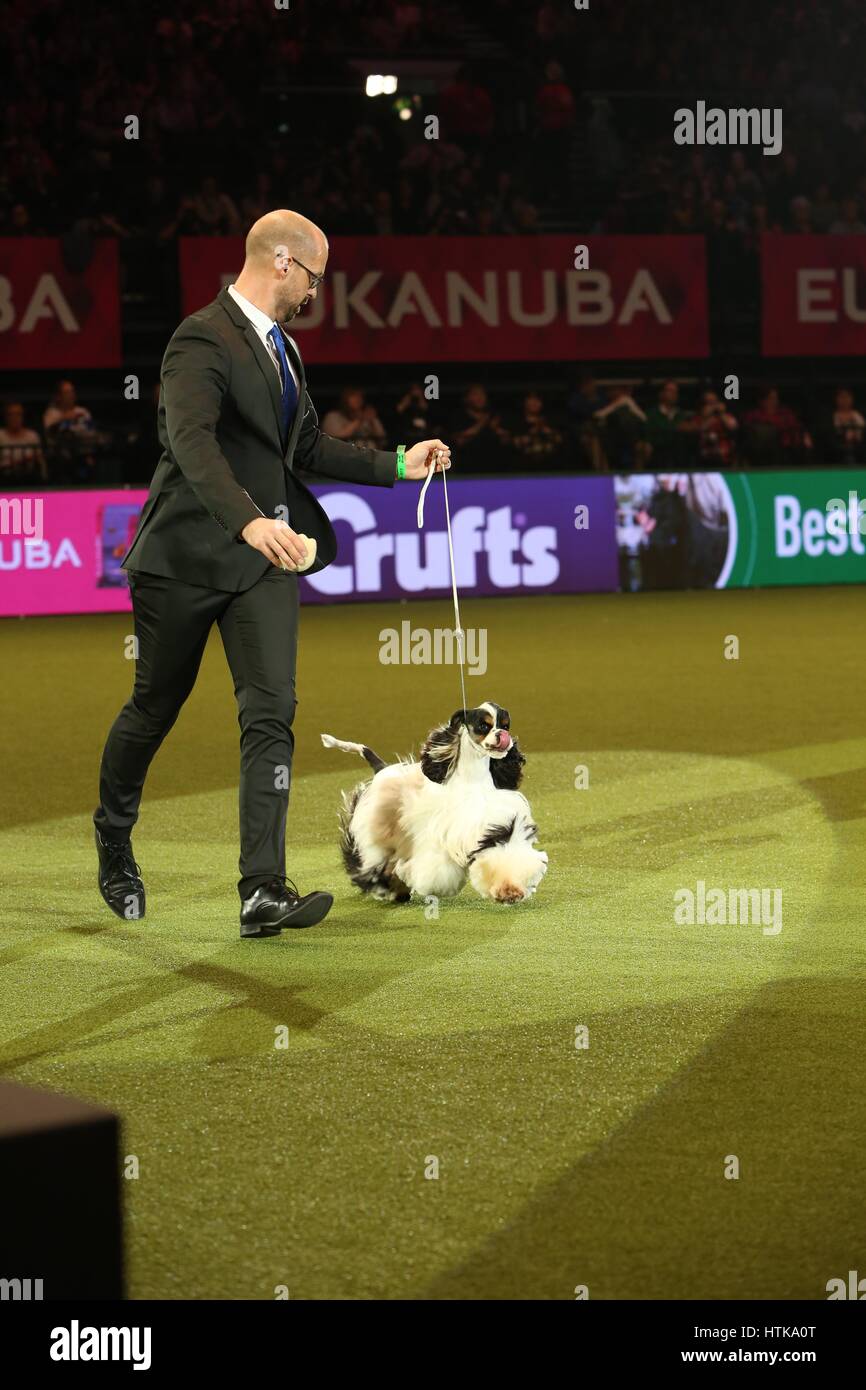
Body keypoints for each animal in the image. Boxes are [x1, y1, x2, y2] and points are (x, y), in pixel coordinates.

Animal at [318, 700, 547, 906]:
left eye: (505, 725)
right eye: (484, 726)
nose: (503, 736)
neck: (474, 778)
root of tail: (383, 769)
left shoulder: (497, 825)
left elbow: (505, 855)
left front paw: (510, 891)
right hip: (376, 831)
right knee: (374, 861)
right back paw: (391, 889)